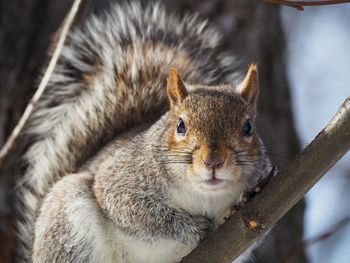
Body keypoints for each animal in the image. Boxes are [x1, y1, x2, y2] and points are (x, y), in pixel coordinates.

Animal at [13, 2, 270, 263]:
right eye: (181, 126)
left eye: (248, 127)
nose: (213, 161)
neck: (205, 194)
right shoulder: (122, 179)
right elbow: (139, 213)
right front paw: (191, 228)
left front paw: (237, 206)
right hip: (67, 222)